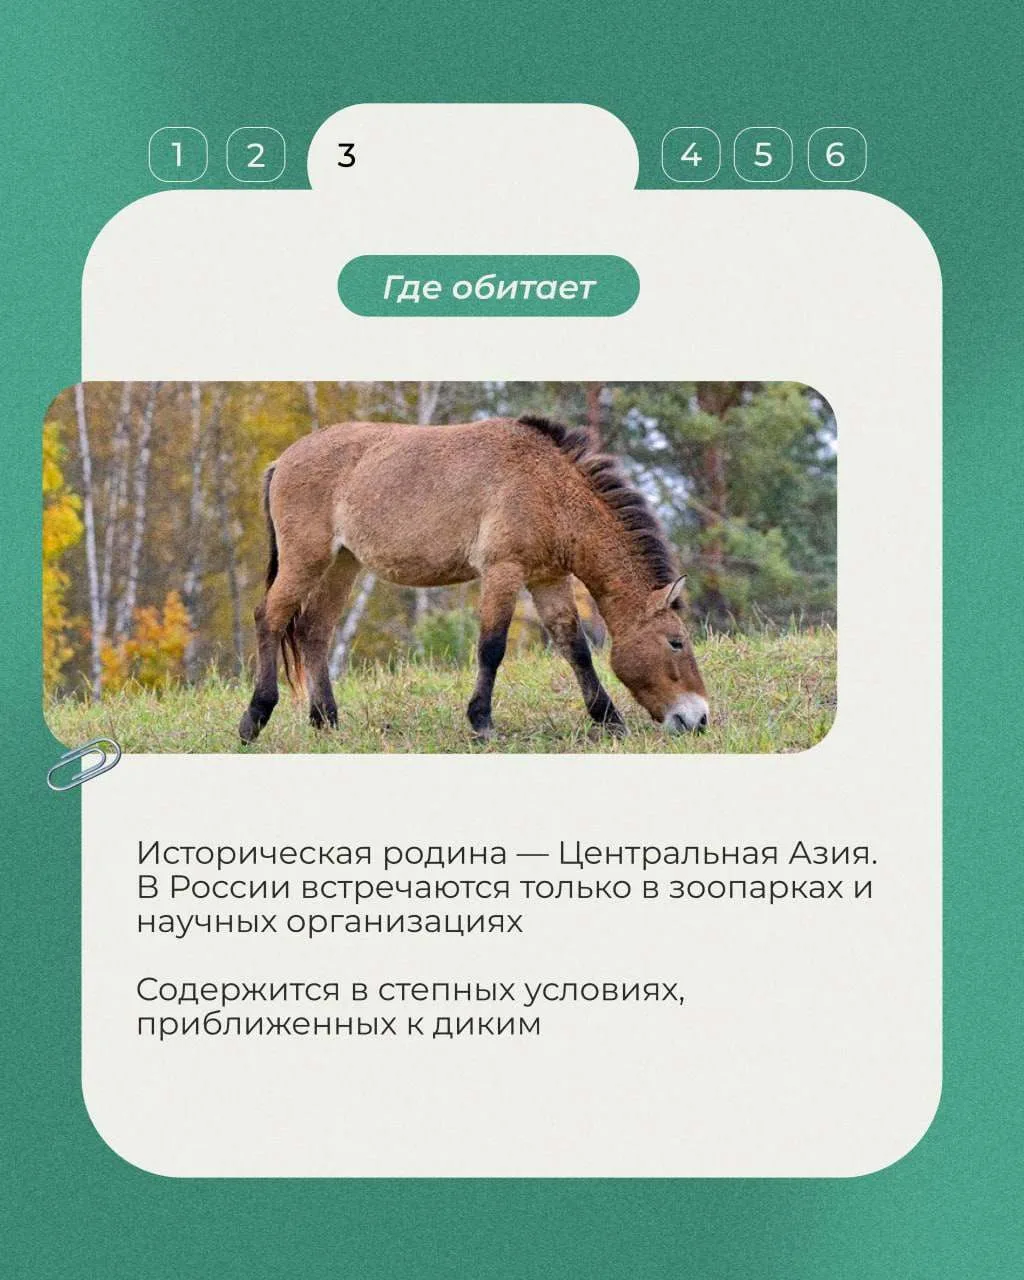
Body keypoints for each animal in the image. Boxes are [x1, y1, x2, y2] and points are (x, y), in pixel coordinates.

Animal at [238, 415, 709, 744]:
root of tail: (282, 461)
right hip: (306, 560)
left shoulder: (548, 579)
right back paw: (254, 719)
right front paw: (481, 722)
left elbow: (575, 648)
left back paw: (327, 722)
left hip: (342, 565)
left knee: (314, 631)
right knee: (269, 618)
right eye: (676, 642)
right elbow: (492, 648)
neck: (549, 487)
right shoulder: (503, 571)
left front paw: (609, 720)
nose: (699, 718)